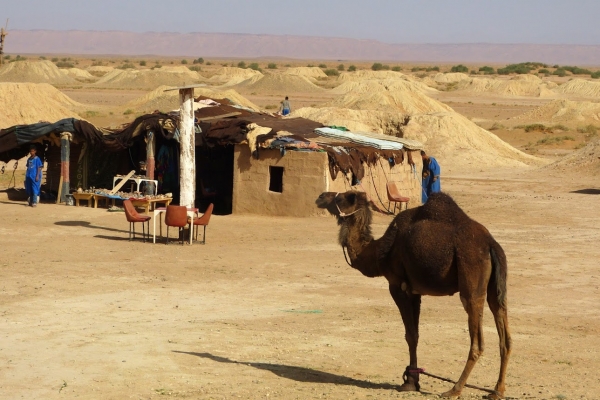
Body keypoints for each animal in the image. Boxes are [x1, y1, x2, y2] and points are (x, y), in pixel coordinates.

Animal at [314, 192, 510, 398]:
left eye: (342, 197)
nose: (321, 197)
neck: (378, 252)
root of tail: (491, 245)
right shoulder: (415, 292)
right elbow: (415, 334)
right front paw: (412, 380)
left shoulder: (397, 286)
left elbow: (409, 335)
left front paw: (409, 382)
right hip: (496, 288)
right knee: (504, 334)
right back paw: (497, 390)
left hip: (471, 278)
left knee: (477, 341)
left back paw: (454, 389)